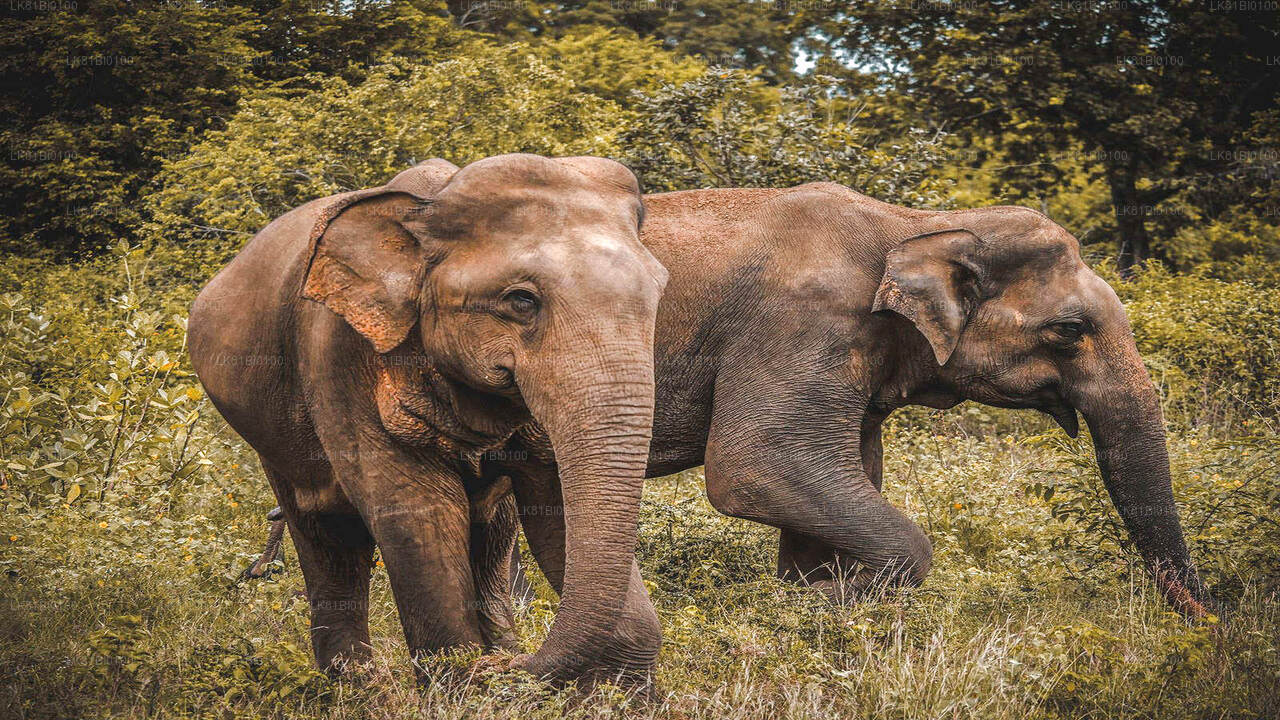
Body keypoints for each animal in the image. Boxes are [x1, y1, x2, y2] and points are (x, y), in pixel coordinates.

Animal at [192, 152, 670, 681]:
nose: (514, 664)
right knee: (327, 537)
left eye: (659, 293)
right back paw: (357, 685)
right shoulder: (338, 353)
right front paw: (464, 677)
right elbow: (416, 510)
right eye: (521, 300)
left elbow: (556, 504)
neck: (430, 205)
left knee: (491, 534)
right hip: (273, 440)